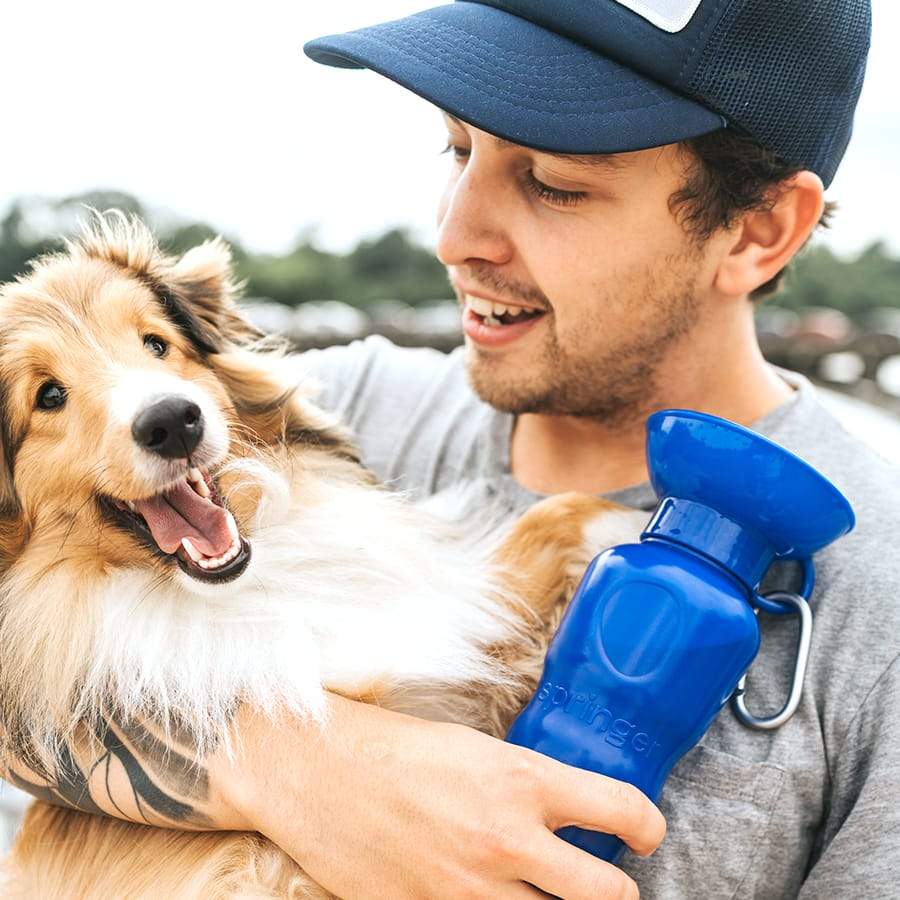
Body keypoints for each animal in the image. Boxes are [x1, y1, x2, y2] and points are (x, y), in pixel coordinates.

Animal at [0, 214, 648, 896]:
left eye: (156, 344)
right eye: (49, 396)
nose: (174, 421)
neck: (250, 586)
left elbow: (545, 527)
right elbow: (548, 526)